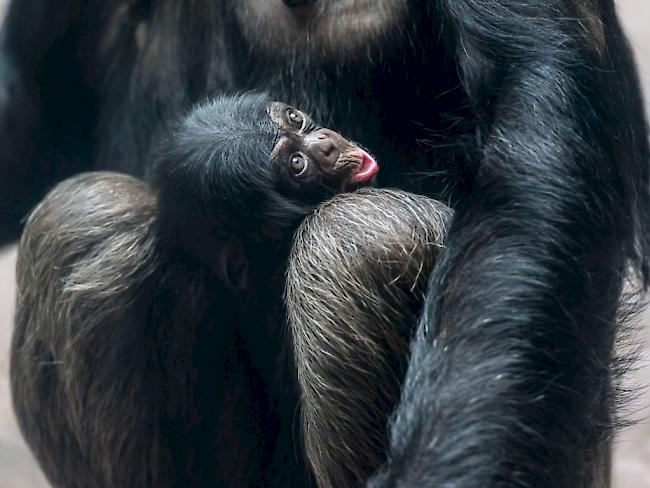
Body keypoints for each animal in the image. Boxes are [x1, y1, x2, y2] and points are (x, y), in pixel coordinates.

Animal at [1, 0, 648, 486]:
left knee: (358, 237)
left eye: (296, 119)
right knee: (84, 218)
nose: (324, 143)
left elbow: (528, 118)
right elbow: (35, 110)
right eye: (294, 165)